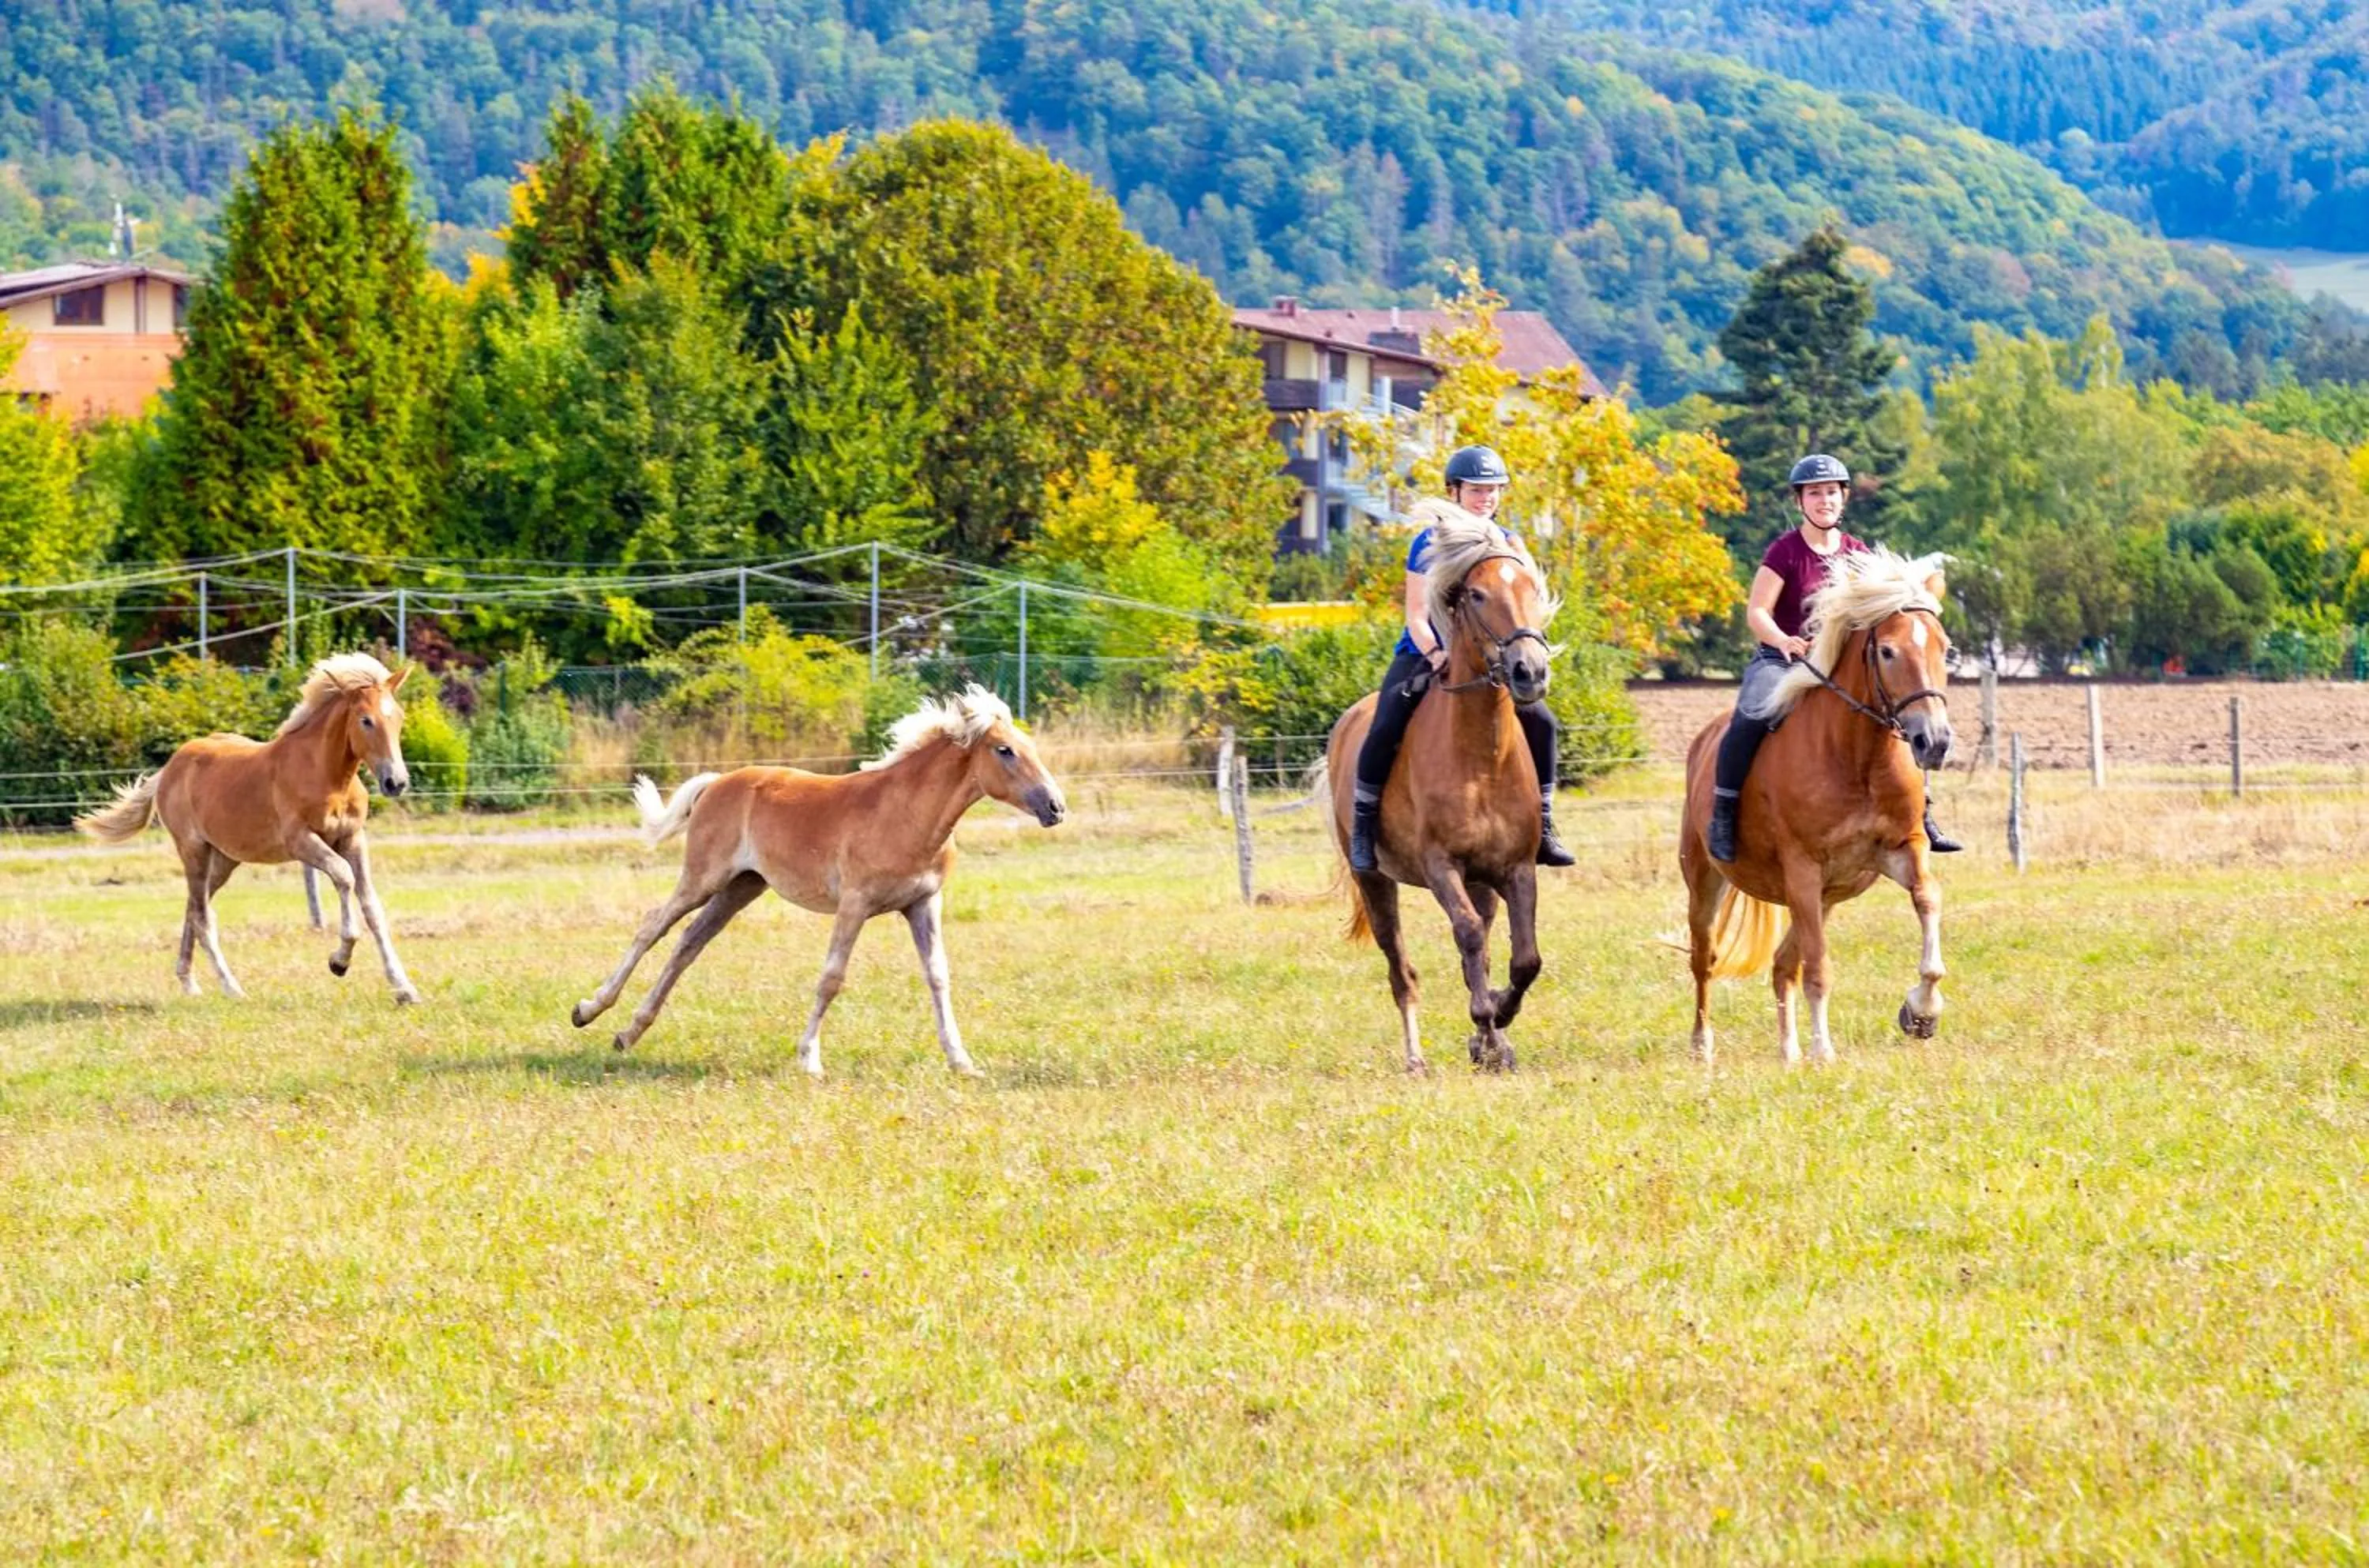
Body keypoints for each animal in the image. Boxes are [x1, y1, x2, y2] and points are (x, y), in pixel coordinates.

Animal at [74, 653, 422, 1005]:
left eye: (399, 717)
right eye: (366, 720)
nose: (396, 782)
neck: (326, 776)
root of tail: (170, 768)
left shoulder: (353, 840)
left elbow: (372, 907)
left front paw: (403, 987)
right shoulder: (302, 842)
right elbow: (344, 877)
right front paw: (339, 962)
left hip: (224, 859)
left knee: (194, 907)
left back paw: (188, 982)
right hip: (194, 851)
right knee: (202, 916)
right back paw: (232, 988)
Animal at [571, 685, 1068, 1077]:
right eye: (1004, 751)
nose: (1055, 807)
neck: (905, 813)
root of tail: (716, 783)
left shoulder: (924, 902)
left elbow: (938, 976)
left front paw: (962, 1061)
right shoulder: (855, 903)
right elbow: (832, 978)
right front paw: (809, 1058)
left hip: (741, 887)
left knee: (689, 943)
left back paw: (628, 1033)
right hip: (704, 878)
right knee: (653, 926)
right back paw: (588, 1010)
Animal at [1322, 516, 1559, 1074]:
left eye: (1530, 589)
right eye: (1476, 593)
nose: (1530, 672)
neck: (1481, 758)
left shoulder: (1517, 868)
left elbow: (1524, 958)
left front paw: (1496, 1026)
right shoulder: (1440, 866)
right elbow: (1469, 936)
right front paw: (1485, 1021)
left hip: (1481, 880)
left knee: (1484, 945)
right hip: (1375, 880)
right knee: (1401, 969)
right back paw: (1415, 1058)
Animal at [1677, 549, 1955, 1066]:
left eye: (1944, 648)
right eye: (1887, 652)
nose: (1935, 742)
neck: (1857, 757)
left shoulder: (1900, 850)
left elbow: (1928, 901)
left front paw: (1922, 1012)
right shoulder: (1804, 867)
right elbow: (1820, 968)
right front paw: (1824, 1050)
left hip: (1826, 896)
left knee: (1783, 964)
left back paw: (1788, 1052)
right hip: (1709, 881)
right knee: (1705, 959)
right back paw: (1703, 1046)